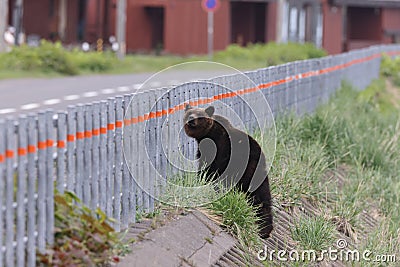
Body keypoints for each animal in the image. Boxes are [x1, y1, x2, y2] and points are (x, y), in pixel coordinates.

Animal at [184, 104, 272, 239]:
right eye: (190, 113)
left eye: (200, 115)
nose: (191, 119)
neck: (205, 135)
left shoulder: (217, 149)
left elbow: (207, 167)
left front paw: (201, 180)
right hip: (258, 175)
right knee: (263, 197)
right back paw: (265, 229)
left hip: (241, 167)